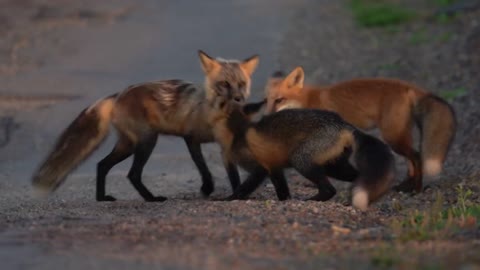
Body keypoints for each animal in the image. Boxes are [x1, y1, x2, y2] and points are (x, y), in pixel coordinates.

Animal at [31, 50, 258, 201]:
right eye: (225, 84)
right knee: (132, 174)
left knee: (102, 165)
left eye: (241, 84)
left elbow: (233, 174)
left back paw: (102, 198)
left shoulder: (225, 143)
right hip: (147, 141)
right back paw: (151, 198)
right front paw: (208, 188)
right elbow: (203, 168)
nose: (239, 99)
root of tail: (118, 94)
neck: (211, 112)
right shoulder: (191, 138)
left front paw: (237, 194)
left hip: (128, 145)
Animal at [208, 95, 396, 211]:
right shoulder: (274, 166)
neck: (236, 133)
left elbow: (243, 188)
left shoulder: (260, 165)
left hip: (302, 159)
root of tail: (345, 124)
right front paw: (284, 202)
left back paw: (312, 200)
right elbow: (282, 190)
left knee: (330, 189)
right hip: (334, 166)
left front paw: (228, 198)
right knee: (359, 177)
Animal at [264, 67, 456, 194]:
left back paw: (417, 188)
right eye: (266, 101)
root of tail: (406, 85)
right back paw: (405, 186)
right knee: (411, 160)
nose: (266, 117)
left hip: (392, 136)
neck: (308, 100)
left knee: (416, 156)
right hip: (398, 135)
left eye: (279, 100)